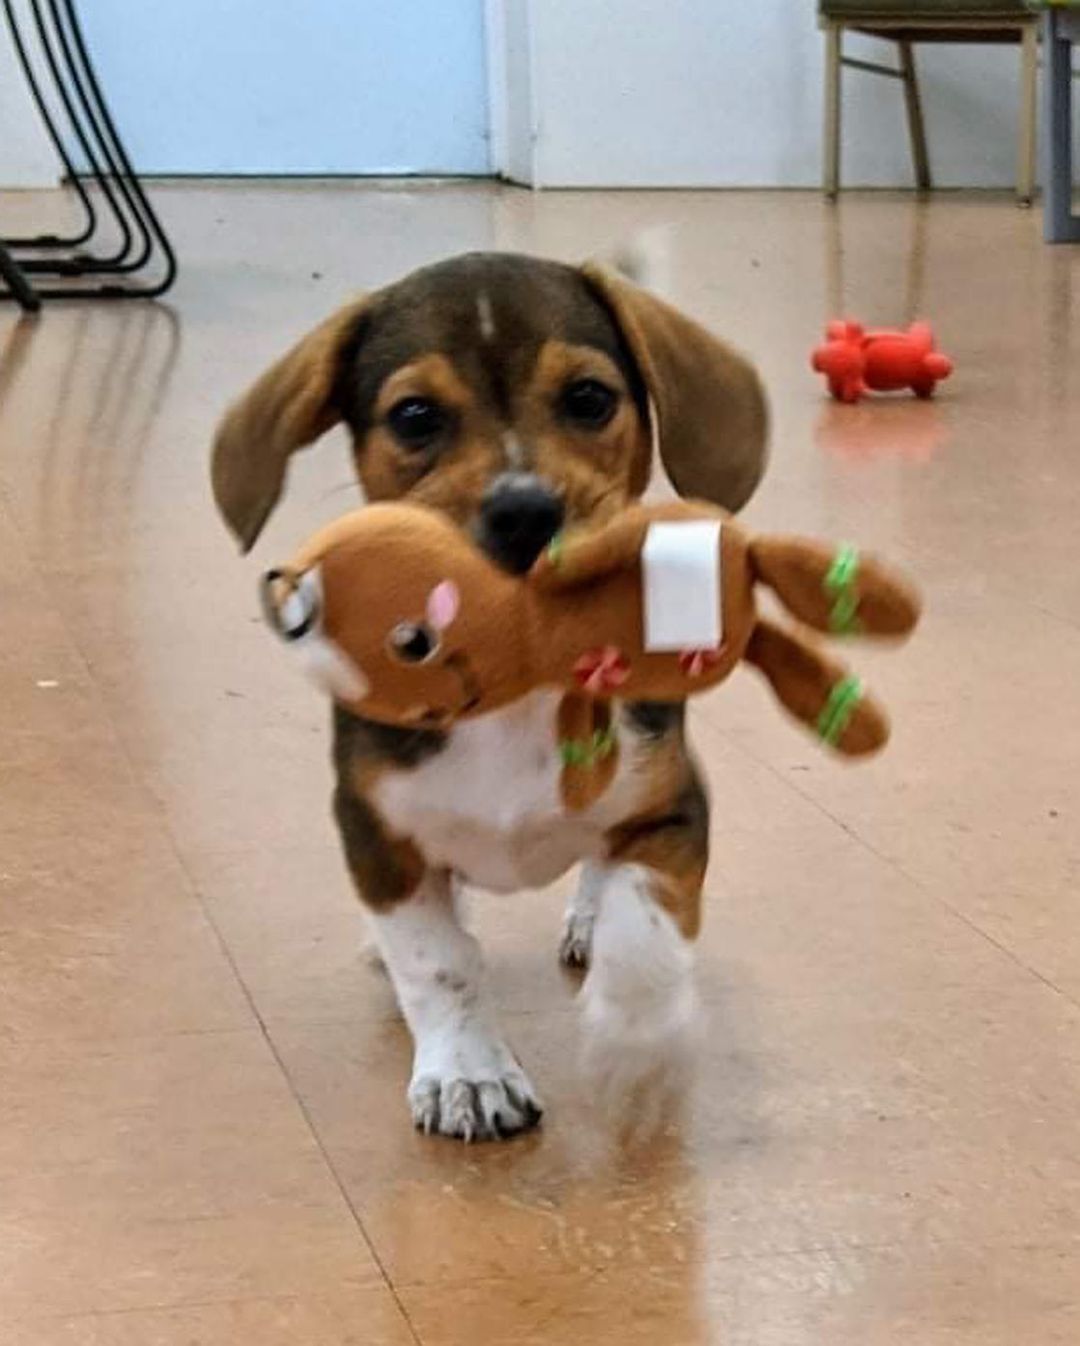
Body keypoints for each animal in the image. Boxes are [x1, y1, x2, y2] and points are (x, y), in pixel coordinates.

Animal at [210, 250, 764, 1136]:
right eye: (414, 416)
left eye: (589, 398)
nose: (525, 512)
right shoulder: (374, 831)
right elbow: (439, 963)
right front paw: (467, 1073)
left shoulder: (673, 807)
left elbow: (645, 941)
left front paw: (636, 1053)